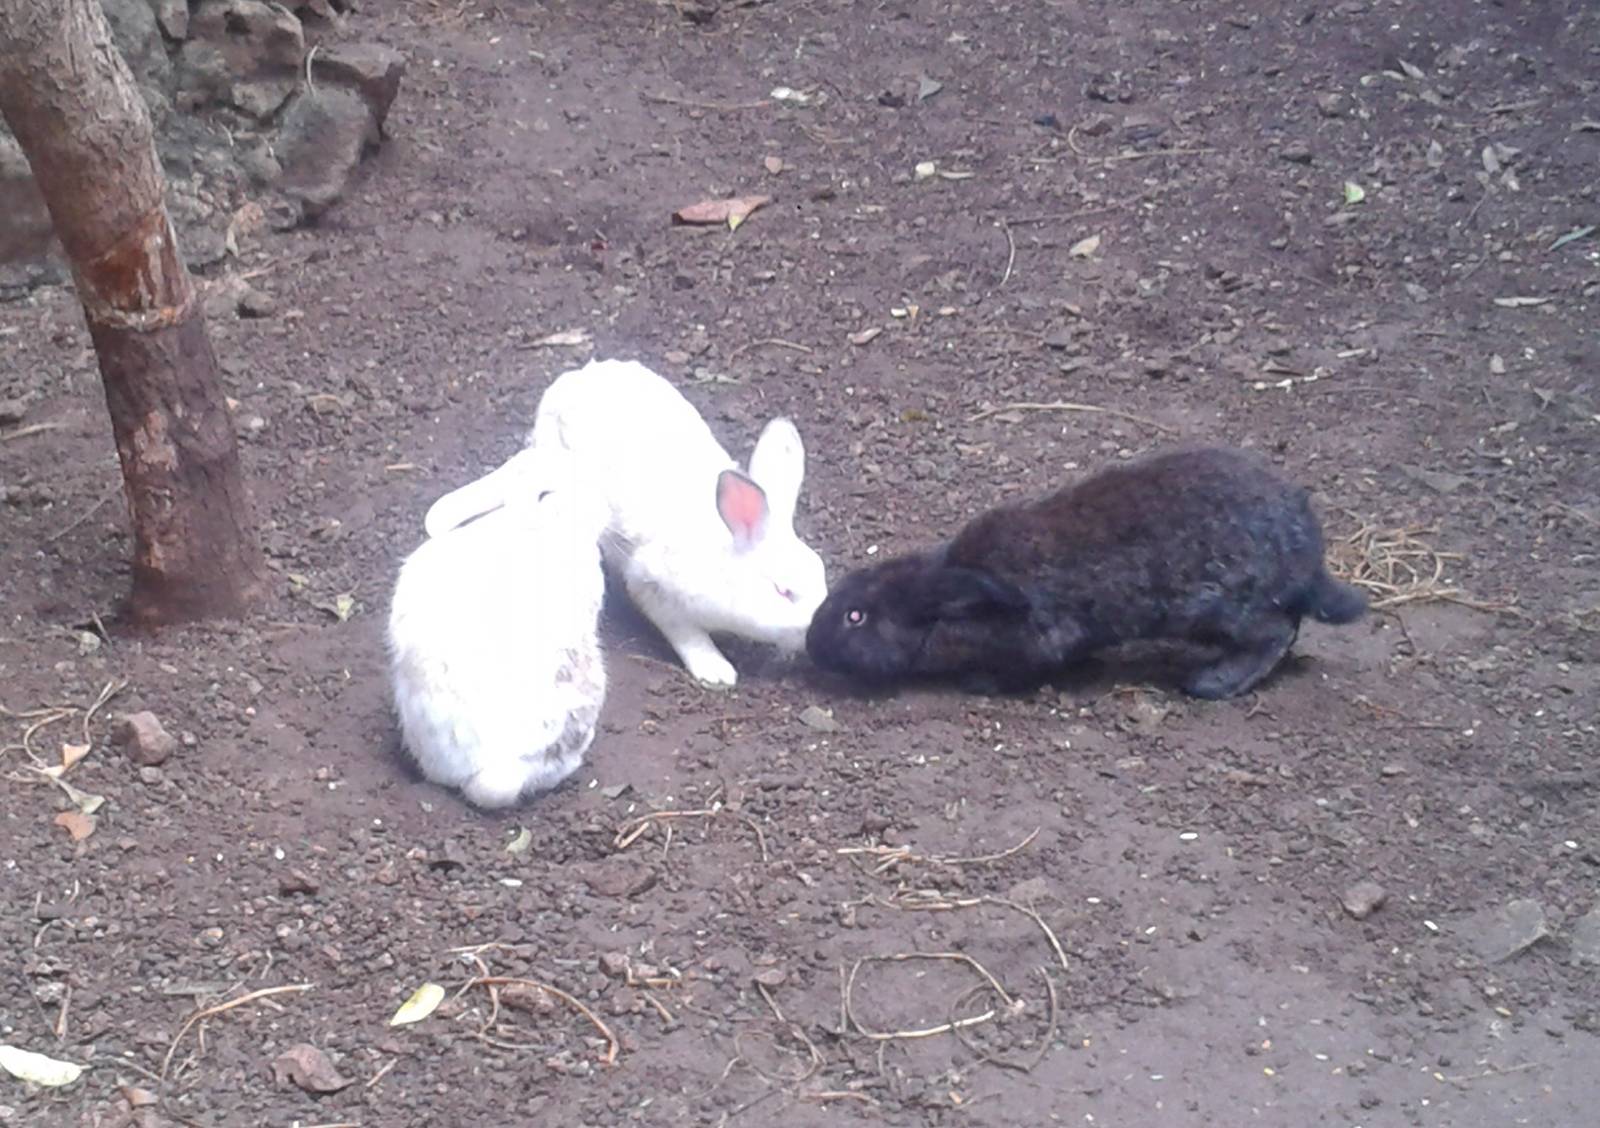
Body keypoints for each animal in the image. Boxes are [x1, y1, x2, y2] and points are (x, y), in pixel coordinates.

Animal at [424, 358, 828, 687]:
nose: (816, 629)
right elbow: (683, 630)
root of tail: (571, 380)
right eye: (783, 591)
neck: (722, 558)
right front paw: (715, 669)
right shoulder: (652, 585)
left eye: (823, 575)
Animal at [805, 446, 1367, 700]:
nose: (812, 644)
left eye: (856, 617)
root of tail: (1309, 555)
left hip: (1223, 607)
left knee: (1275, 632)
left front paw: (978, 682)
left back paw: (1212, 682)